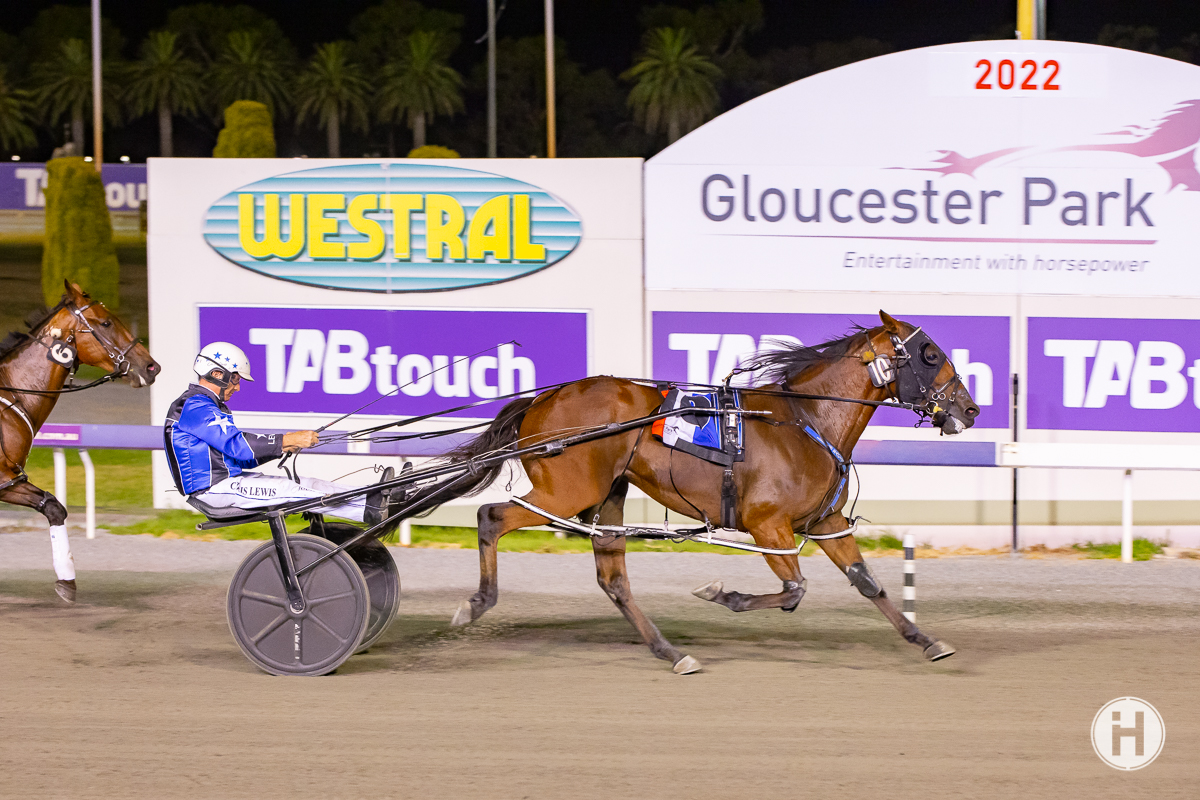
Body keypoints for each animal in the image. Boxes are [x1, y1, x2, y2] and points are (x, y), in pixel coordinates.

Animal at [0, 282, 160, 603]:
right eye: (106, 322)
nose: (151, 366)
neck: (12, 396)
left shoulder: (9, 479)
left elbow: (54, 506)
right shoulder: (3, 479)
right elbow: (53, 508)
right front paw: (67, 581)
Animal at [406, 311, 979, 673]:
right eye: (929, 354)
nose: (970, 409)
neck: (806, 421)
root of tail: (546, 398)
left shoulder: (824, 522)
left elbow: (868, 583)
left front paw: (926, 641)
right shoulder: (766, 524)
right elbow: (795, 591)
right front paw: (724, 595)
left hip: (607, 494)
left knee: (613, 578)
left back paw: (670, 652)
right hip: (566, 490)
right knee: (491, 517)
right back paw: (475, 604)